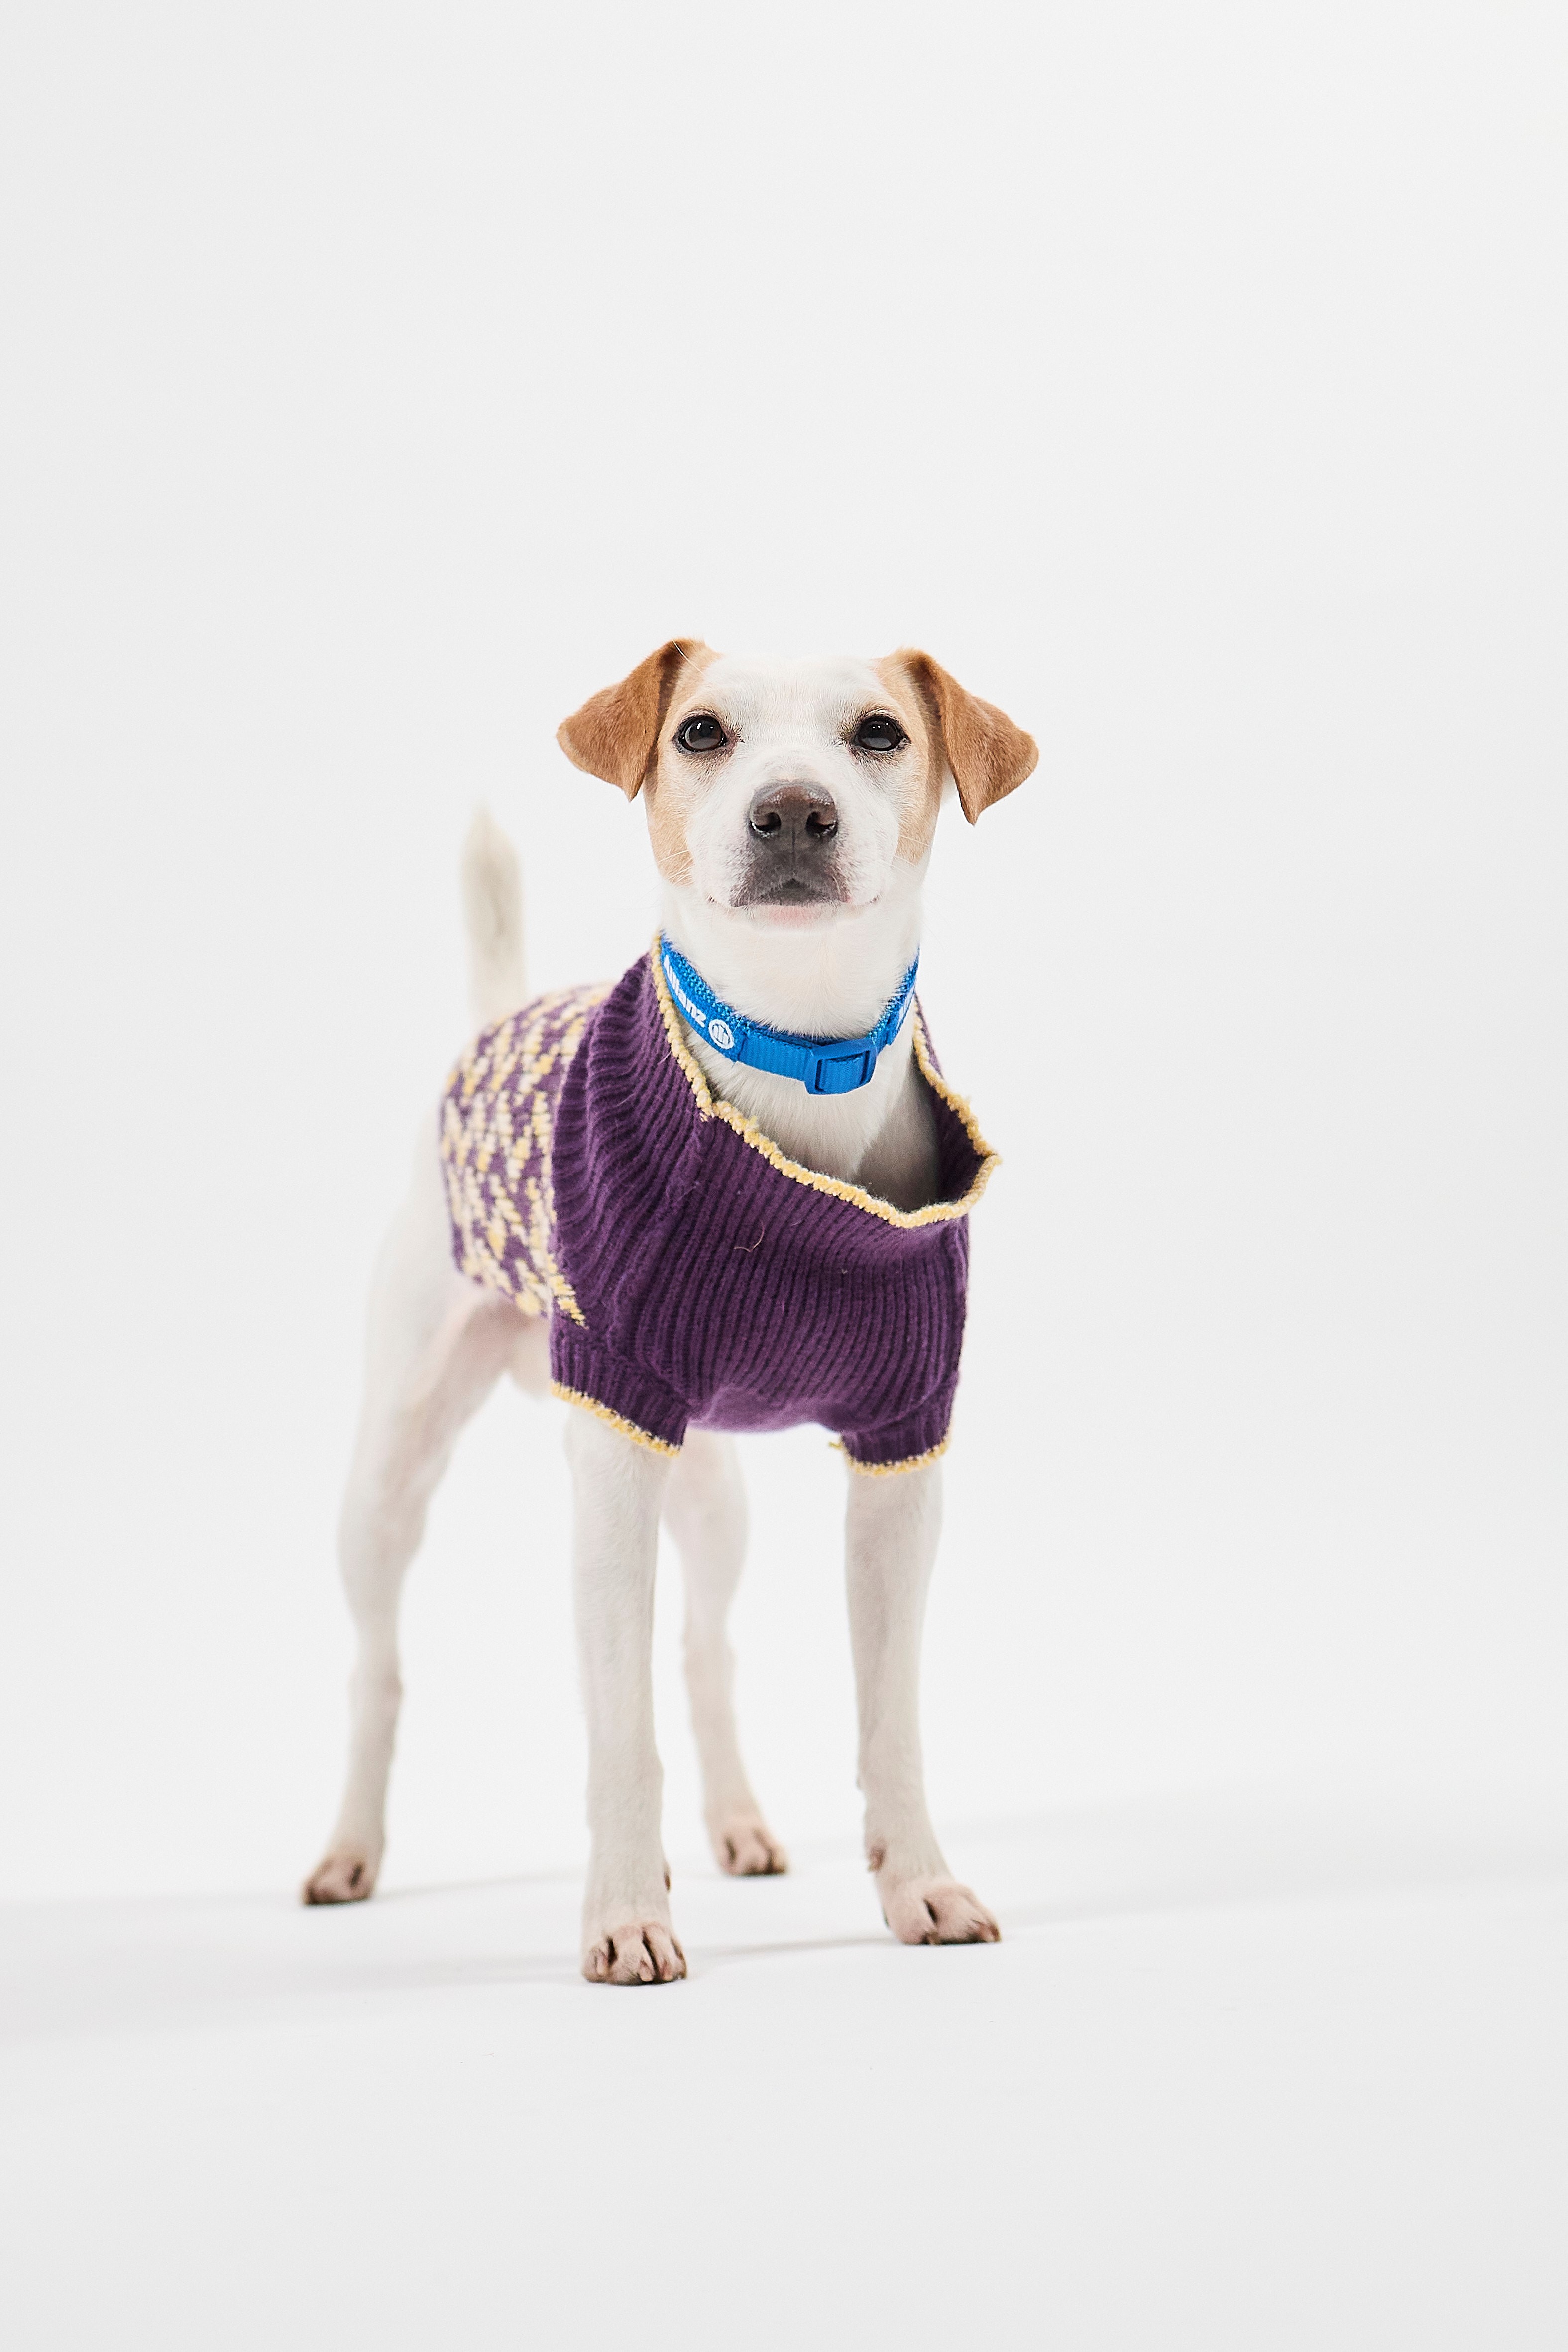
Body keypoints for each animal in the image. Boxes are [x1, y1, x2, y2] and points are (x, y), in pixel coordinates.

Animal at [304, 642, 1037, 1983]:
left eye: (880, 732)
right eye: (700, 731)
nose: (792, 809)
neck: (797, 1069)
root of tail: (493, 1021)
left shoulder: (904, 1456)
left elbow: (890, 1713)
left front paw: (919, 1883)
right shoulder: (614, 1458)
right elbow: (619, 1728)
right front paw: (625, 1913)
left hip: (711, 1487)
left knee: (707, 1648)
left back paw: (741, 1823)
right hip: (391, 1473)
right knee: (378, 1666)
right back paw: (349, 1851)